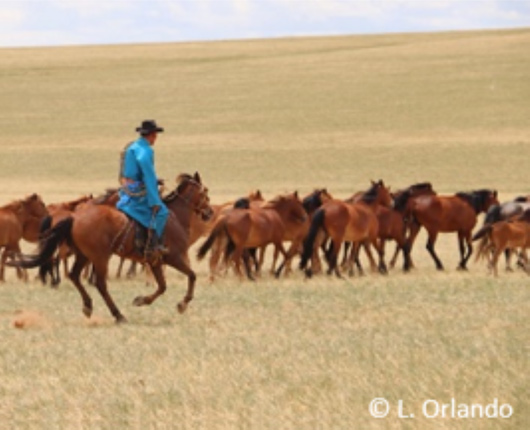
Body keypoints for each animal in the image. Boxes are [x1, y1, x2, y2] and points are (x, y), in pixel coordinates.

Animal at [9, 171, 211, 322]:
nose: (209, 213)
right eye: (205, 193)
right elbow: (191, 276)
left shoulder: (155, 262)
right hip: (100, 257)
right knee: (100, 284)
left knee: (74, 275)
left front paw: (141, 300)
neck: (175, 216)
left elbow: (162, 286)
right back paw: (118, 315)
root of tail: (74, 217)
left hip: (84, 255)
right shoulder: (173, 257)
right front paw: (182, 304)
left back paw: (88, 306)